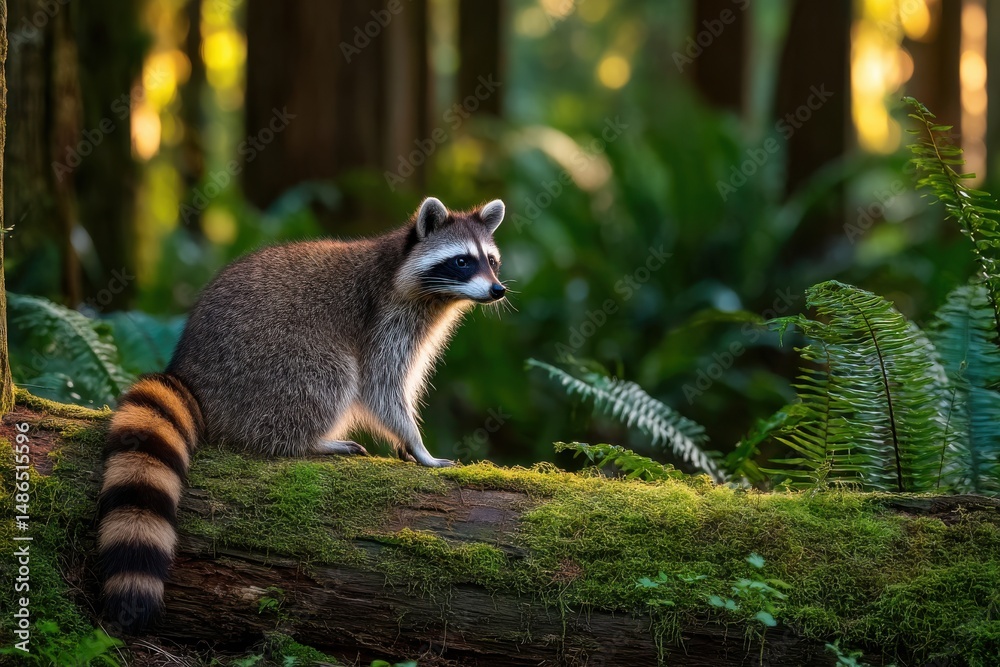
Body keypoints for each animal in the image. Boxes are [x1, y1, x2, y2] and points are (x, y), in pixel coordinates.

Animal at [97, 197, 506, 632]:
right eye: (462, 261)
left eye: (491, 261)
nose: (498, 289)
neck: (424, 287)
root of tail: (190, 372)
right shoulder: (385, 317)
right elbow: (378, 386)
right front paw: (417, 443)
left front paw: (407, 443)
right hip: (272, 365)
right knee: (330, 375)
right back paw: (313, 442)